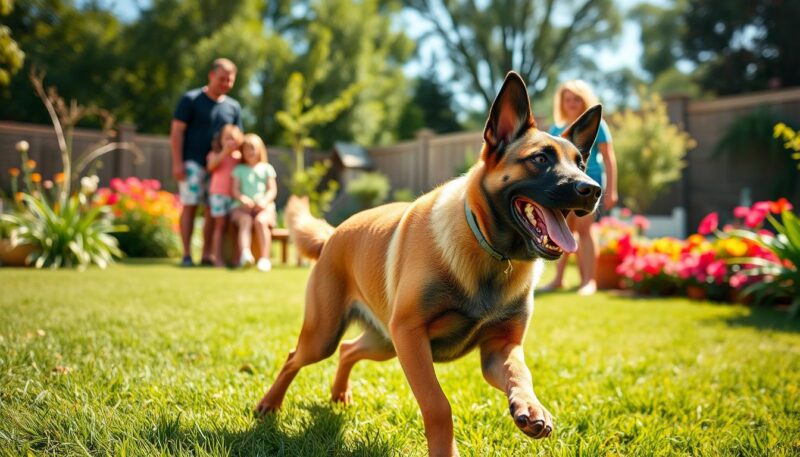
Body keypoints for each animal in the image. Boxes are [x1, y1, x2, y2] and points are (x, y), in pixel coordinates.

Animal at [256, 72, 600, 456]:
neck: (491, 253)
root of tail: (332, 235)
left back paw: (339, 394)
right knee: (294, 356)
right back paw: (269, 404)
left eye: (580, 164)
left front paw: (531, 407)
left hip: (382, 342)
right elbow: (437, 405)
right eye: (540, 159)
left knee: (347, 351)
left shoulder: (499, 349)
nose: (592, 189)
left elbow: (520, 375)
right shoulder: (411, 336)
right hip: (328, 334)